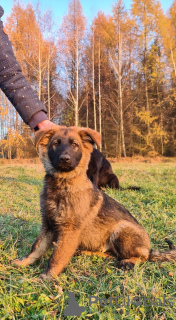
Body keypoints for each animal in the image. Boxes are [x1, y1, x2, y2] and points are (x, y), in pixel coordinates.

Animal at [12, 126, 176, 278]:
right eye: (55, 144)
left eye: (74, 144)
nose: (64, 159)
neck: (63, 184)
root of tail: (148, 247)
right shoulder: (48, 225)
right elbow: (36, 247)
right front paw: (24, 262)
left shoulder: (69, 231)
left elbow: (57, 257)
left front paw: (46, 277)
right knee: (113, 255)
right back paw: (89, 253)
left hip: (121, 229)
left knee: (142, 256)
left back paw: (129, 261)